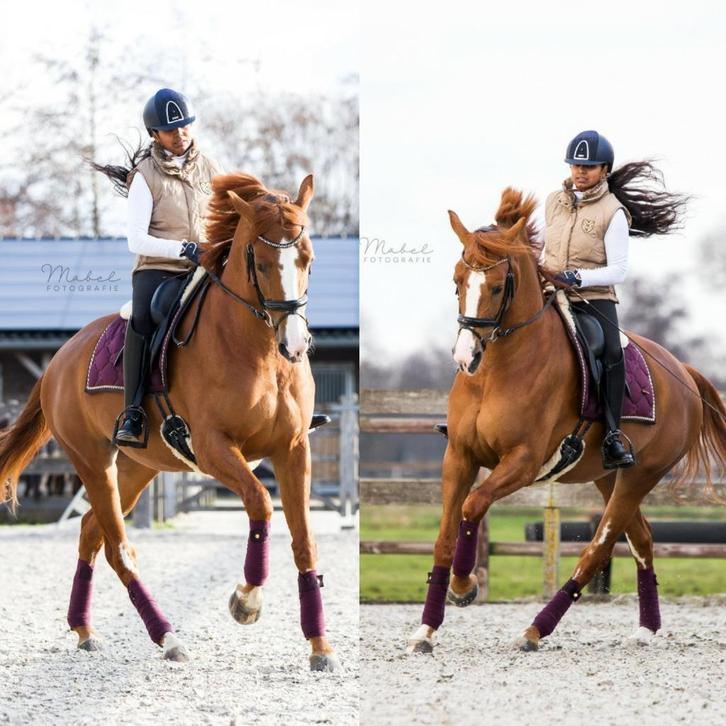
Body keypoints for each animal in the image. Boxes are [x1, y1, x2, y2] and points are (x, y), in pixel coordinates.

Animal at [0, 173, 342, 672]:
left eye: (308, 260)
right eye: (259, 263)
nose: (295, 345)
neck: (257, 352)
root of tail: (60, 359)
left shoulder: (294, 449)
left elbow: (305, 541)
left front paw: (320, 646)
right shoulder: (215, 449)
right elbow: (260, 503)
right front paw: (246, 601)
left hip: (135, 469)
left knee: (91, 531)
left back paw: (84, 630)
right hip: (93, 463)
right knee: (120, 549)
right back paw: (167, 638)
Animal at [408, 188, 726, 653]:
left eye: (498, 286)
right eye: (457, 281)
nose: (465, 358)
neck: (496, 373)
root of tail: (682, 371)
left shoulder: (523, 462)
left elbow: (473, 505)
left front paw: (465, 586)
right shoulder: (460, 457)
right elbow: (446, 536)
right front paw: (426, 629)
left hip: (639, 477)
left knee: (599, 548)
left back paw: (535, 630)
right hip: (608, 477)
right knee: (642, 540)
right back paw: (646, 628)